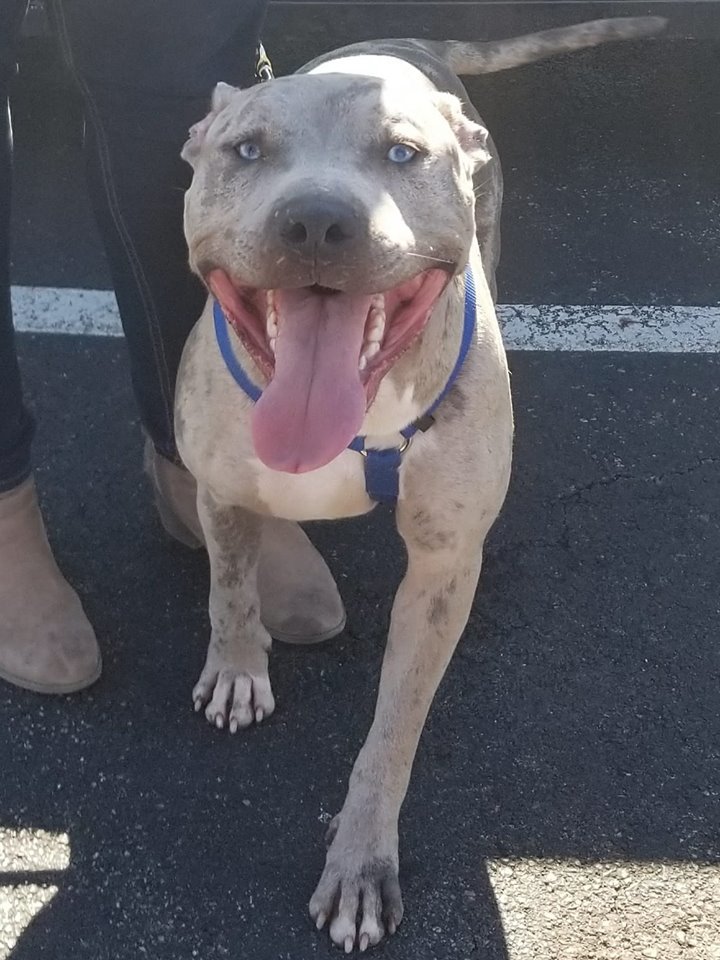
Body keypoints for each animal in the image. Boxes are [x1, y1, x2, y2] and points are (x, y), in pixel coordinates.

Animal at [173, 16, 664, 952]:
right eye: (247, 149)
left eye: (402, 154)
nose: (317, 220)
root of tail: (407, 35)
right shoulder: (217, 487)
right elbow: (229, 587)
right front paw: (238, 665)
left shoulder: (438, 573)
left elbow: (393, 732)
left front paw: (361, 862)